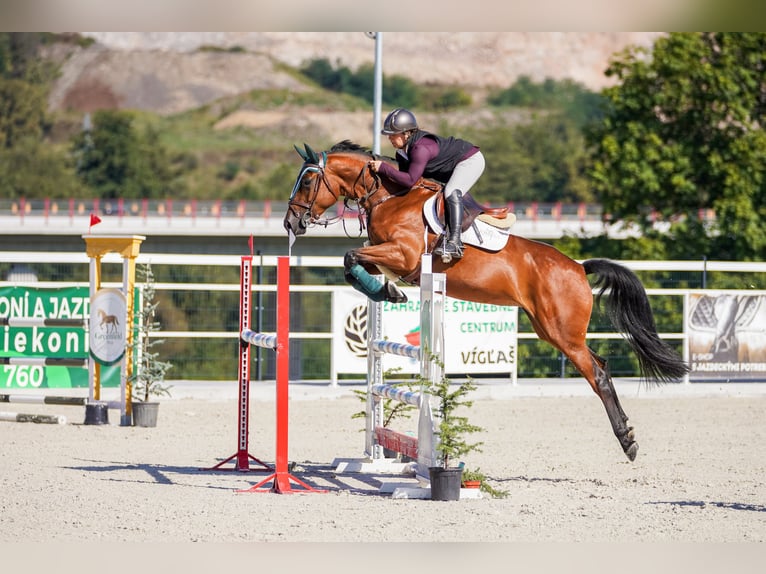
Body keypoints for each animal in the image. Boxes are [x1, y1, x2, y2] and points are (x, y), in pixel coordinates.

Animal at [284, 141, 692, 464]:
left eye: (308, 181)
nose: (291, 223)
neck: (390, 198)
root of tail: (577, 266)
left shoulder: (404, 254)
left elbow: (350, 256)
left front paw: (387, 290)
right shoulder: (388, 255)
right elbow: (354, 263)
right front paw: (387, 292)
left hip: (563, 333)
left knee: (600, 376)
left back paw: (628, 442)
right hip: (550, 330)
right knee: (600, 365)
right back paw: (628, 435)